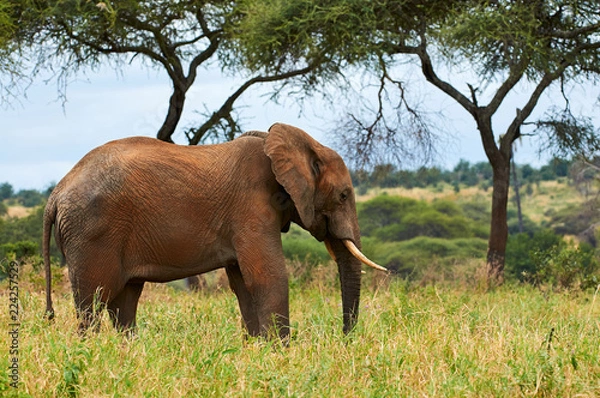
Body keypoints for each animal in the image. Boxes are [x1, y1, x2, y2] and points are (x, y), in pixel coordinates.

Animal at [44, 123, 386, 340]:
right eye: (343, 196)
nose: (344, 338)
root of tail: (54, 195)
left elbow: (244, 284)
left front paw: (258, 348)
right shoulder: (250, 207)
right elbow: (268, 276)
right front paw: (281, 352)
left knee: (124, 303)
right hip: (91, 234)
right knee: (93, 303)